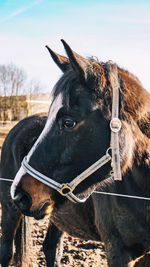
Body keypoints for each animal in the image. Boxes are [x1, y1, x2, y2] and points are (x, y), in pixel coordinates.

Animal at [0, 40, 150, 267]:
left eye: (68, 122)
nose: (20, 194)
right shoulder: (118, 251)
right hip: (9, 211)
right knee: (7, 252)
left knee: (51, 248)